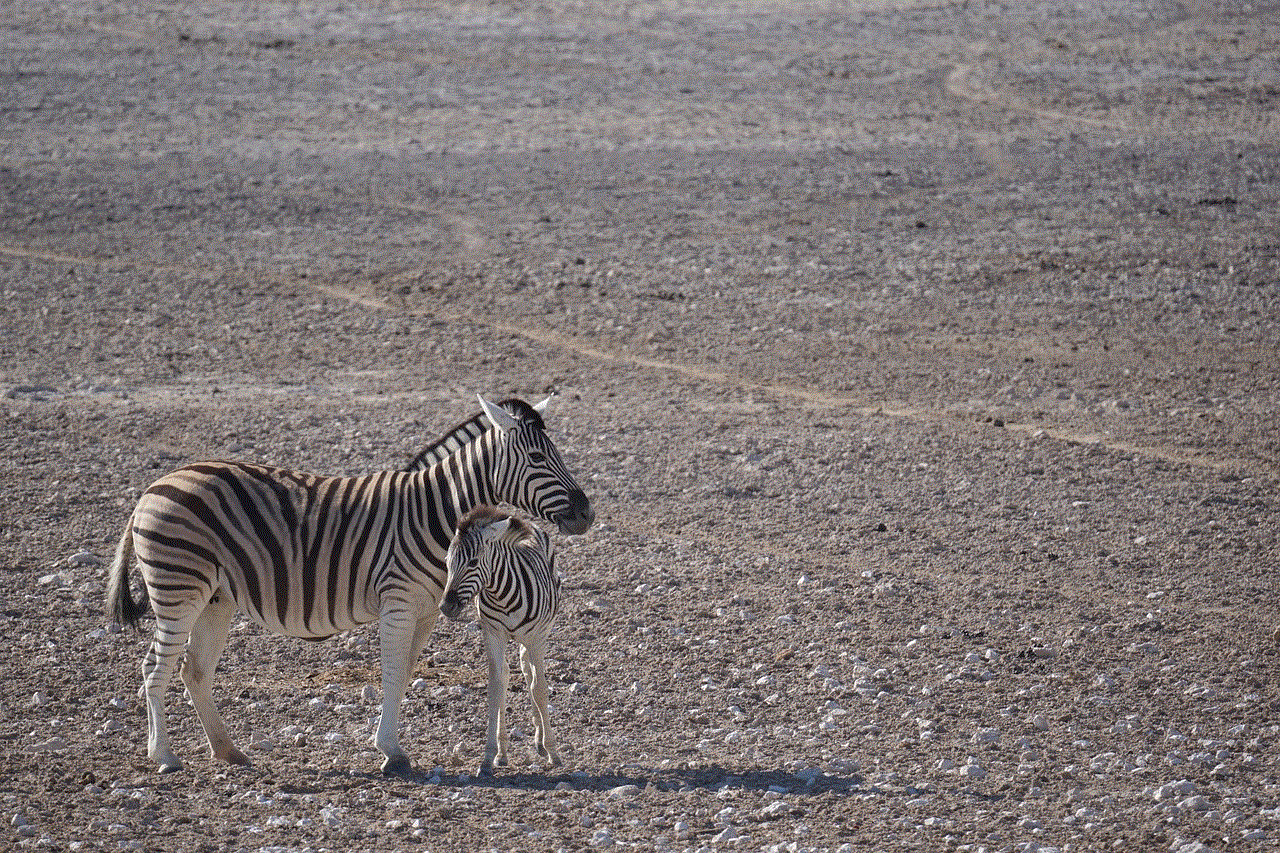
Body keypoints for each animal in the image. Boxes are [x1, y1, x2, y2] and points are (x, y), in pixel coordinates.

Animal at [440, 504, 560, 778]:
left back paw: (541, 740)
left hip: (539, 634)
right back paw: (505, 751)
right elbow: (496, 687)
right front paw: (489, 756)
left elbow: (540, 688)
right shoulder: (492, 633)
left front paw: (553, 750)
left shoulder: (535, 638)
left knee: (531, 677)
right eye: (447, 563)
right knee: (512, 674)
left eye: (473, 562)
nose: (446, 606)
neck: (502, 595)